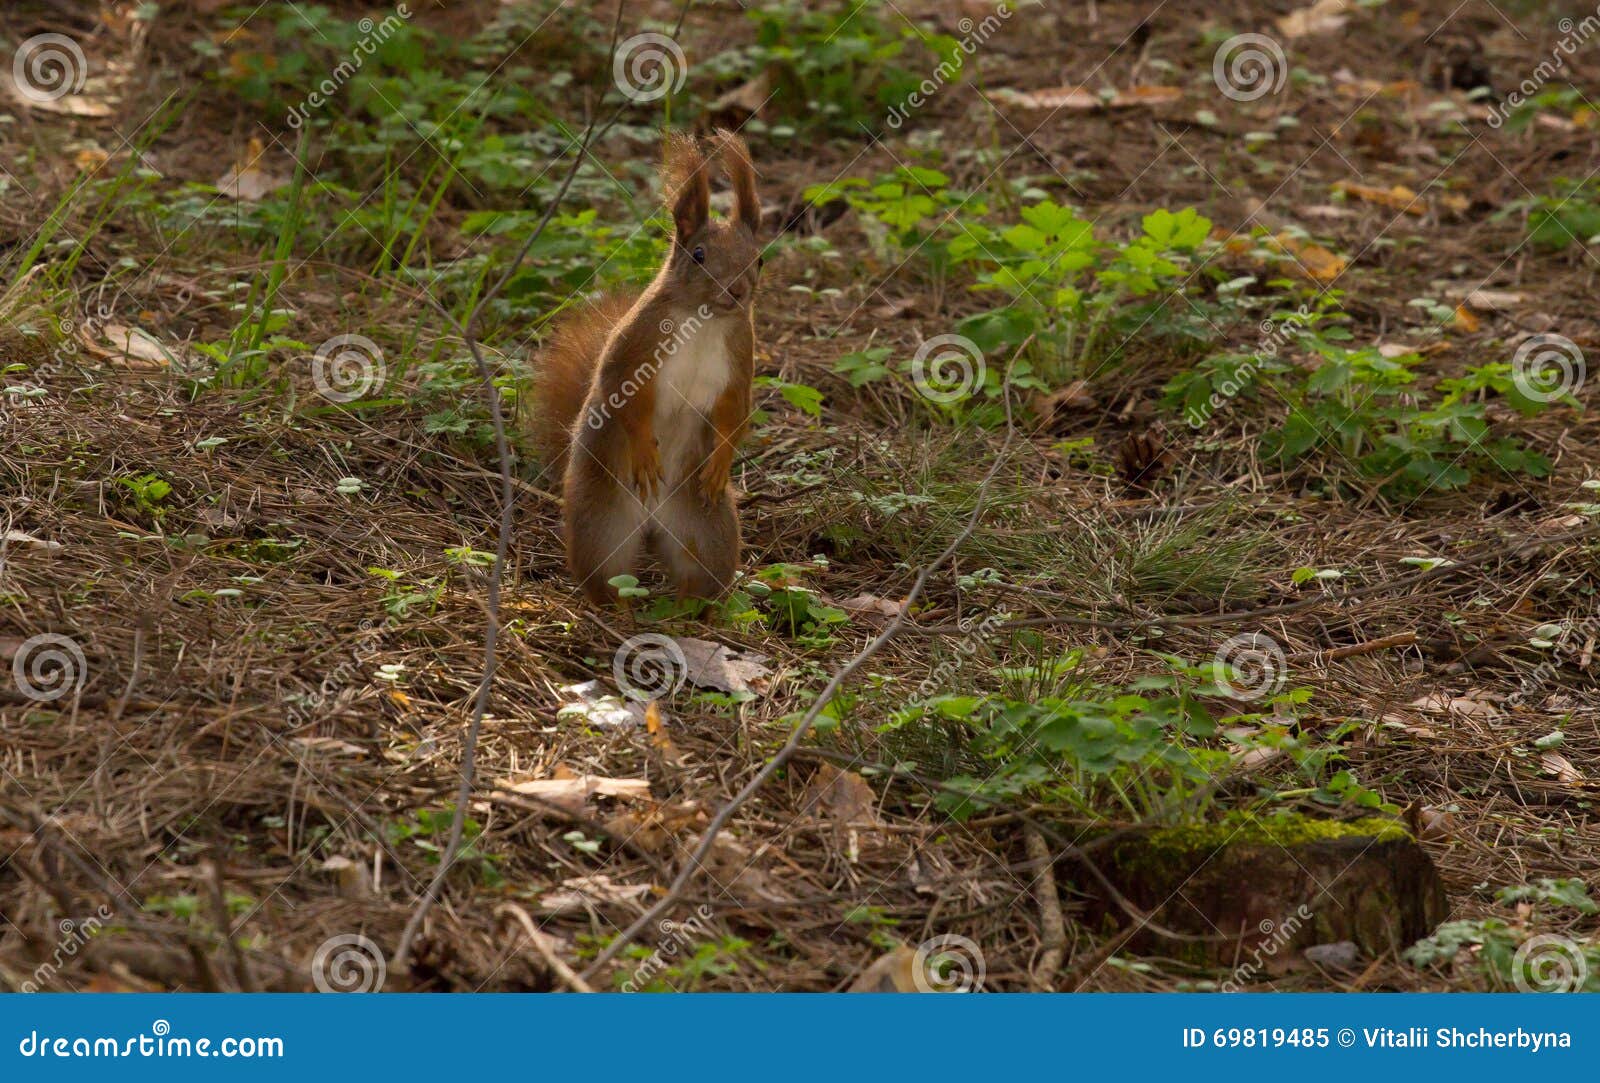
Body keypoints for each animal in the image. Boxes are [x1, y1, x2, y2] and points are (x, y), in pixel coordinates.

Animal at [528, 131, 764, 604]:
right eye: (698, 255)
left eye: (759, 259)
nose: (738, 289)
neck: (705, 321)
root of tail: (653, 526)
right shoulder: (636, 347)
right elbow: (623, 394)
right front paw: (643, 452)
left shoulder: (739, 359)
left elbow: (734, 413)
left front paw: (720, 464)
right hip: (600, 524)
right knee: (605, 579)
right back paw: (616, 609)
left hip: (709, 532)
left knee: (700, 582)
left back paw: (693, 611)